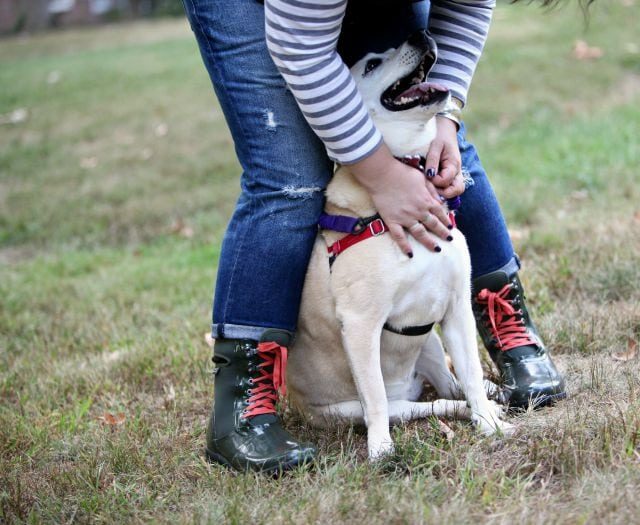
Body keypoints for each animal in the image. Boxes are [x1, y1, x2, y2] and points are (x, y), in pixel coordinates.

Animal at [288, 31, 512, 458]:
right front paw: (380, 450)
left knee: (451, 384)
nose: (421, 34)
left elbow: (471, 371)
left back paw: (491, 399)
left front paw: (489, 424)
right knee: (423, 404)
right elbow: (374, 397)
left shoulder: (456, 307)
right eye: (372, 64)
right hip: (358, 408)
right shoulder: (361, 324)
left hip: (429, 342)